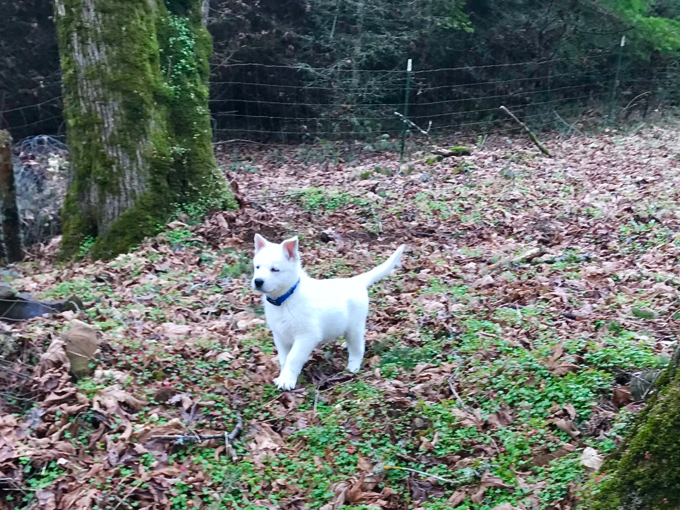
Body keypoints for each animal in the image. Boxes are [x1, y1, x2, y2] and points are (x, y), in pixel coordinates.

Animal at [254, 235, 404, 390]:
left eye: (275, 269)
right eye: (257, 267)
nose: (257, 281)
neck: (286, 298)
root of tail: (356, 281)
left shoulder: (307, 335)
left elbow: (292, 357)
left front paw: (287, 380)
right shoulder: (280, 335)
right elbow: (284, 358)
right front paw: (283, 377)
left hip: (354, 326)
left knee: (358, 347)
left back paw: (353, 367)